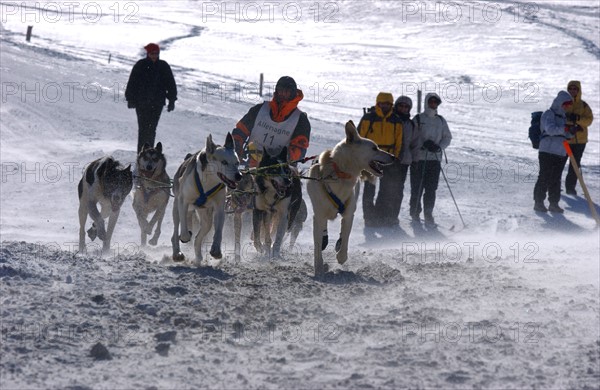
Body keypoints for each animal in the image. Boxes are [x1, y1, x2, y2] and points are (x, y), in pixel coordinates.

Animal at [170, 134, 240, 266]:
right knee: (176, 231)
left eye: (237, 163)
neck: (207, 183)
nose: (239, 175)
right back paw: (177, 253)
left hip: (206, 217)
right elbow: (184, 231)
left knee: (198, 238)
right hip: (176, 209)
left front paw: (216, 249)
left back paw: (198, 258)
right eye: (224, 162)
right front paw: (185, 236)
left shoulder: (219, 207)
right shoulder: (183, 201)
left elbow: (219, 230)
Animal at [308, 120, 396, 276]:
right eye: (374, 148)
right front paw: (318, 267)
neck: (340, 173)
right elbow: (317, 246)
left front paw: (341, 256)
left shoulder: (349, 214)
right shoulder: (318, 215)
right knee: (323, 230)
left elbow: (346, 237)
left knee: (342, 234)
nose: (393, 156)